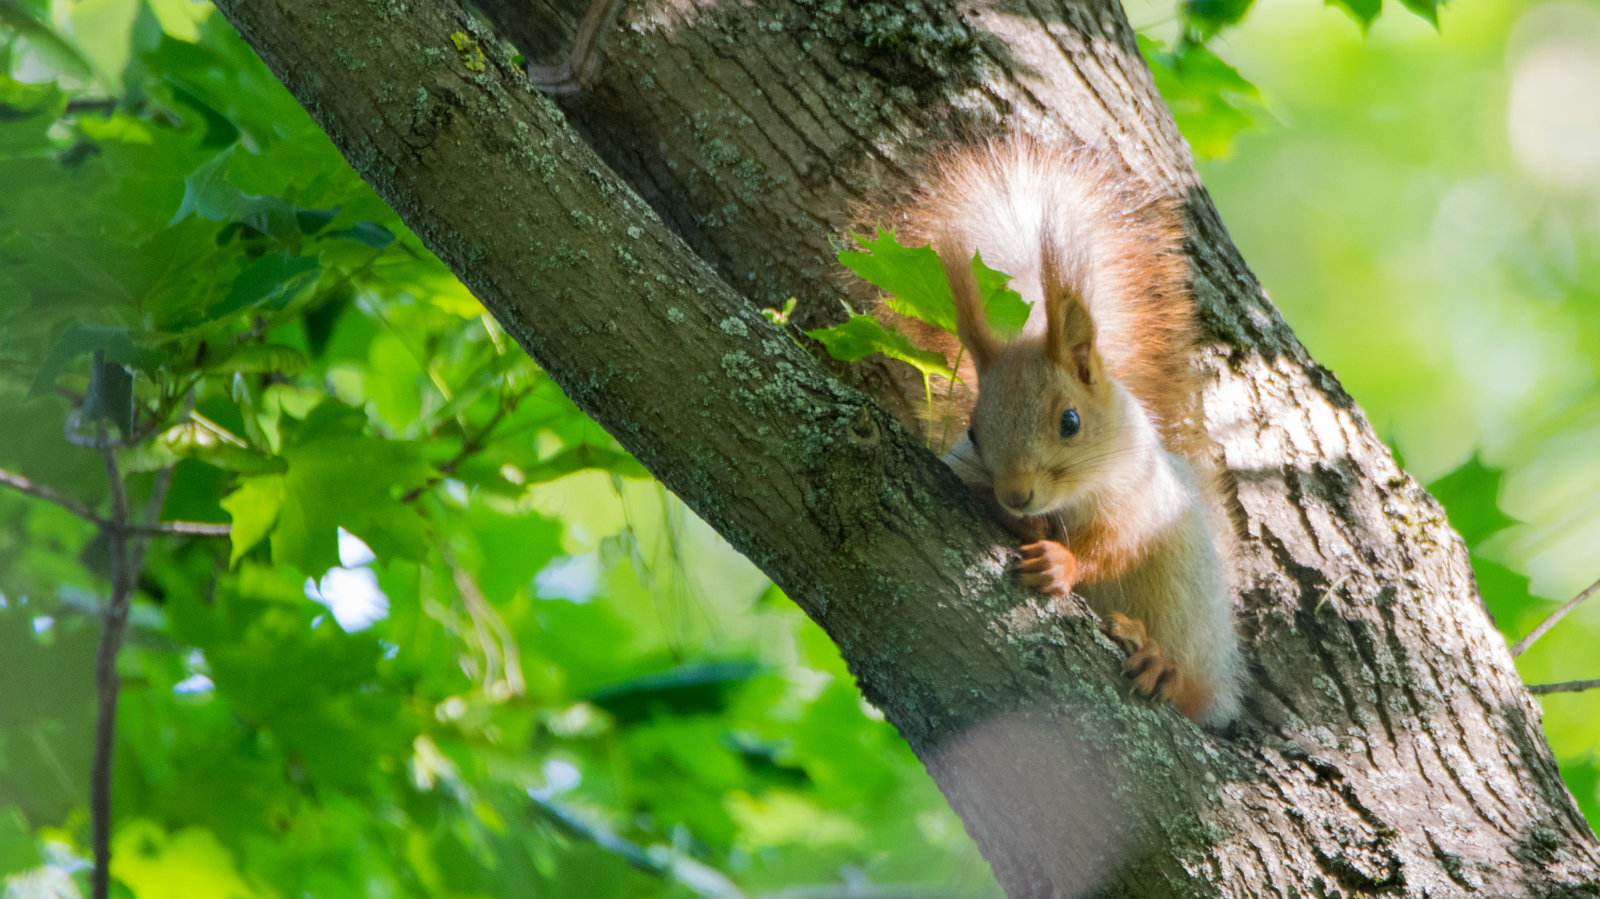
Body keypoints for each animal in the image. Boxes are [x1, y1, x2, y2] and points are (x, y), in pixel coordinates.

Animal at [857, 139, 1241, 729]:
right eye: (973, 432)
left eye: (1070, 422)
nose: (1017, 496)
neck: (1070, 498)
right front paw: (1016, 521)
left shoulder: (1142, 496)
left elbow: (1117, 546)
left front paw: (1061, 562)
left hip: (1191, 601)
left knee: (1193, 686)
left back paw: (1162, 666)